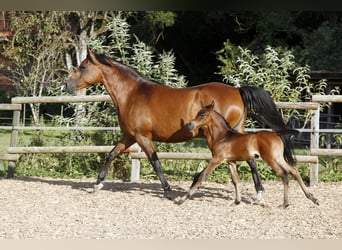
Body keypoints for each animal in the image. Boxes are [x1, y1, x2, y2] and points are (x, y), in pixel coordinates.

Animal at [66, 47, 292, 198]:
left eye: (83, 66)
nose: (67, 85)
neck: (132, 94)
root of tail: (237, 90)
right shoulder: (130, 136)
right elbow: (111, 154)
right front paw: (97, 184)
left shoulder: (142, 136)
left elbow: (155, 162)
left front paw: (168, 191)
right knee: (250, 158)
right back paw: (258, 192)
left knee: (250, 159)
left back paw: (258, 193)